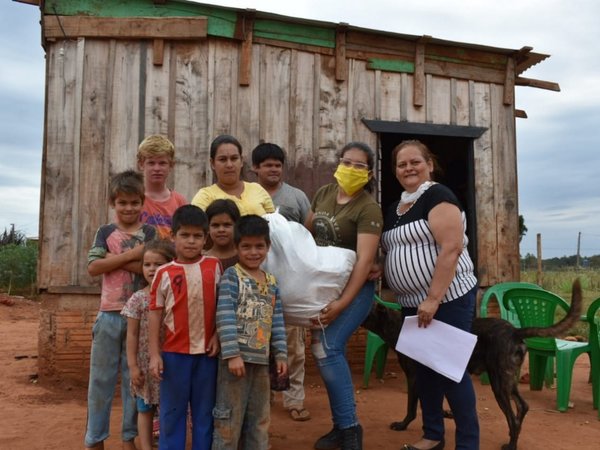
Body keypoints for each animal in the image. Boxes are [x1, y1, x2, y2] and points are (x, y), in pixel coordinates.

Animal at [360, 282, 580, 450]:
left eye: (366, 309)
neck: (397, 326)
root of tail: (514, 332)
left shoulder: (416, 377)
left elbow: (413, 406)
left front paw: (403, 424)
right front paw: (446, 413)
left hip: (498, 383)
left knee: (513, 417)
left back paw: (511, 445)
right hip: (507, 379)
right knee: (522, 406)